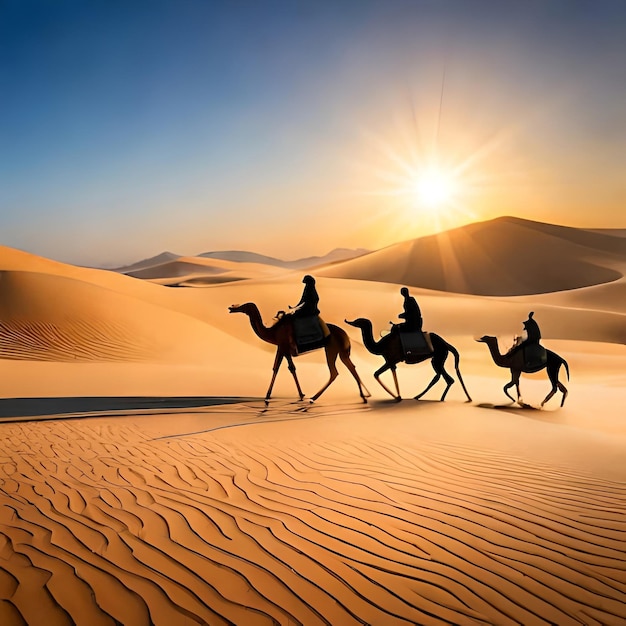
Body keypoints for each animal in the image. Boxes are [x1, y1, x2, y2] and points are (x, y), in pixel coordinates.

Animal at [227, 304, 368, 404]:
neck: (273, 332)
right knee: (351, 367)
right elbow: (287, 368)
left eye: (244, 305)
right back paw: (364, 396)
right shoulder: (283, 349)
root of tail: (346, 335)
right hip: (341, 351)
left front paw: (267, 396)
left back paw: (314, 398)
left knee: (335, 372)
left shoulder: (283, 347)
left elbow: (281, 368)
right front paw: (301, 394)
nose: (231, 307)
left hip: (332, 349)